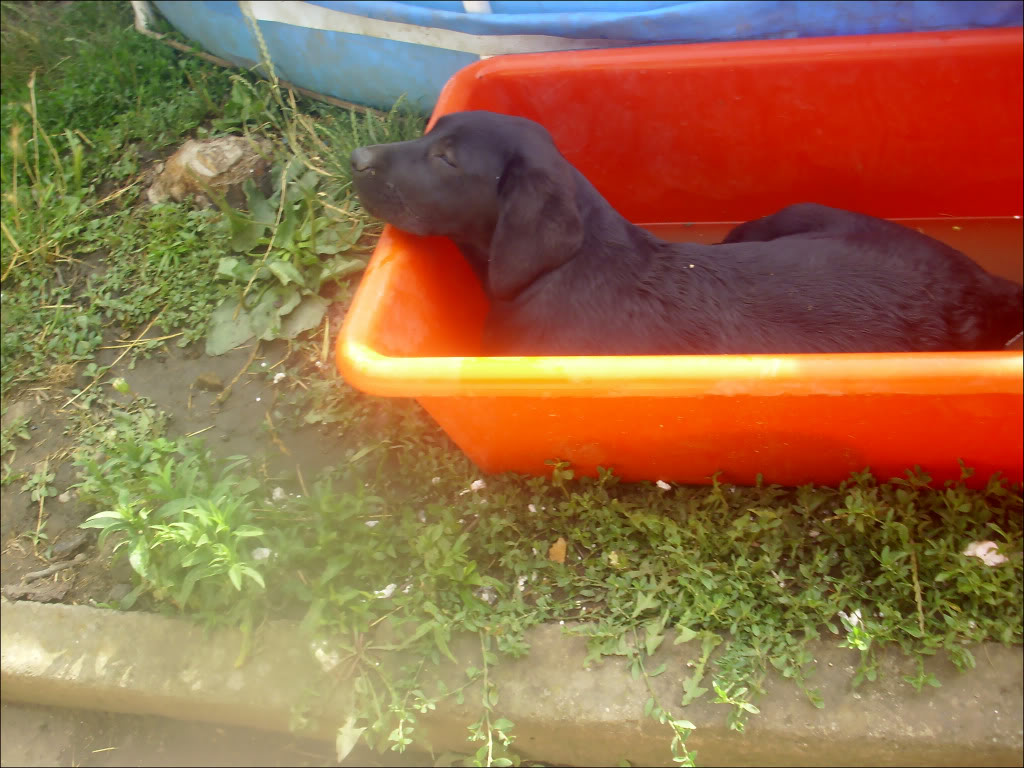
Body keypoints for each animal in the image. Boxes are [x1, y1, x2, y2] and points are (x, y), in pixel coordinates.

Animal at [348, 109, 1019, 356]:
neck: (567, 269)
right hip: (788, 215)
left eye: (447, 160)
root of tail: (986, 284)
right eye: (432, 133)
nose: (356, 157)